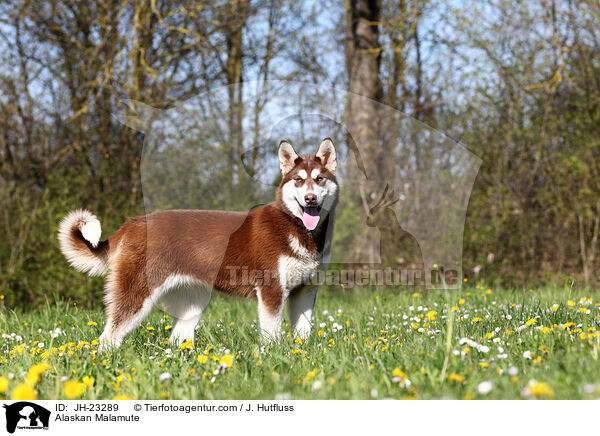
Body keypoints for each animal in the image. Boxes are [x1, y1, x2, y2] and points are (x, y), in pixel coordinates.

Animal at [58, 138, 340, 350]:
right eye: (299, 180)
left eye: (320, 179)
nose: (310, 198)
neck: (297, 227)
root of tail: (133, 223)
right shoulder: (271, 290)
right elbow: (271, 335)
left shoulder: (306, 291)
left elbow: (303, 334)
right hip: (136, 295)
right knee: (109, 337)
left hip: (193, 303)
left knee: (176, 340)